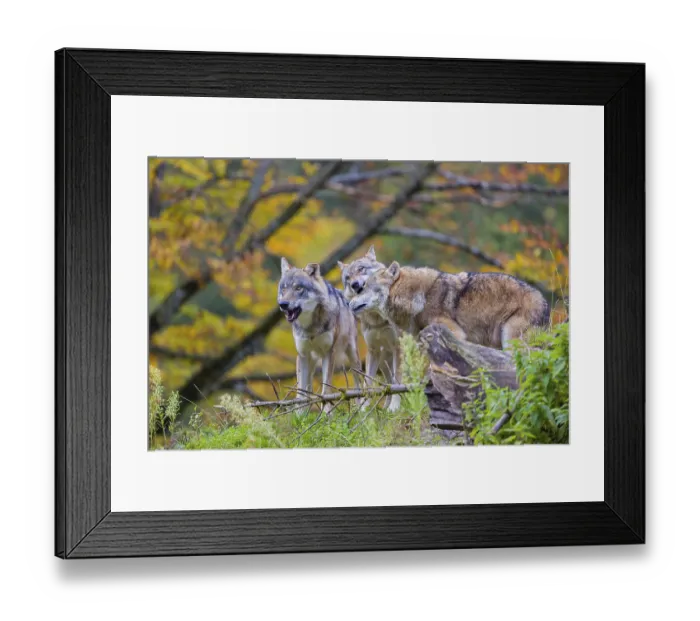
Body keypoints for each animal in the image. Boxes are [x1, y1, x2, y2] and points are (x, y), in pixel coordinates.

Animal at [278, 258, 362, 402]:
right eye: (284, 289)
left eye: (298, 288)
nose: (283, 304)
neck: (311, 327)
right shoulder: (303, 354)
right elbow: (301, 395)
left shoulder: (329, 352)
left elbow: (326, 391)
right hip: (309, 362)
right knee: (308, 390)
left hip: (353, 355)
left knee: (360, 385)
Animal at [338, 246, 402, 411]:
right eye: (348, 278)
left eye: (361, 269)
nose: (354, 284)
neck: (377, 318)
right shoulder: (373, 350)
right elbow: (368, 384)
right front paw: (363, 409)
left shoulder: (398, 347)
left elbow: (398, 381)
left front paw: (395, 407)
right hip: (384, 361)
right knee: (388, 383)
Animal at [348, 261, 550, 350]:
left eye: (361, 287)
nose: (349, 303)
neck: (417, 297)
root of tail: (545, 303)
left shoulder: (455, 334)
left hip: (510, 339)